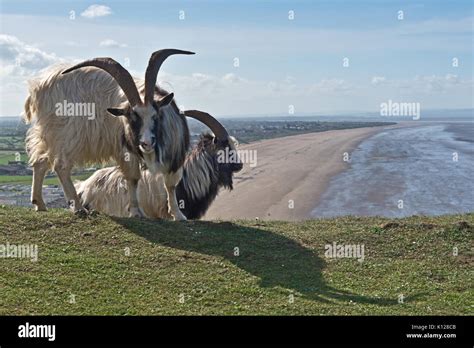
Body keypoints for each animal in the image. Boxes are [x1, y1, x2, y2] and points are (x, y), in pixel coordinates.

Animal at [23, 48, 193, 220]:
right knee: (60, 166)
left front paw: (178, 215)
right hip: (67, 133)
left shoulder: (175, 155)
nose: (147, 143)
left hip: (49, 133)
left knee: (40, 161)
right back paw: (78, 207)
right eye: (131, 118)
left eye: (155, 115)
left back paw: (39, 204)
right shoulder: (126, 150)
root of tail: (40, 87)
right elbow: (133, 178)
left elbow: (170, 185)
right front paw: (136, 212)